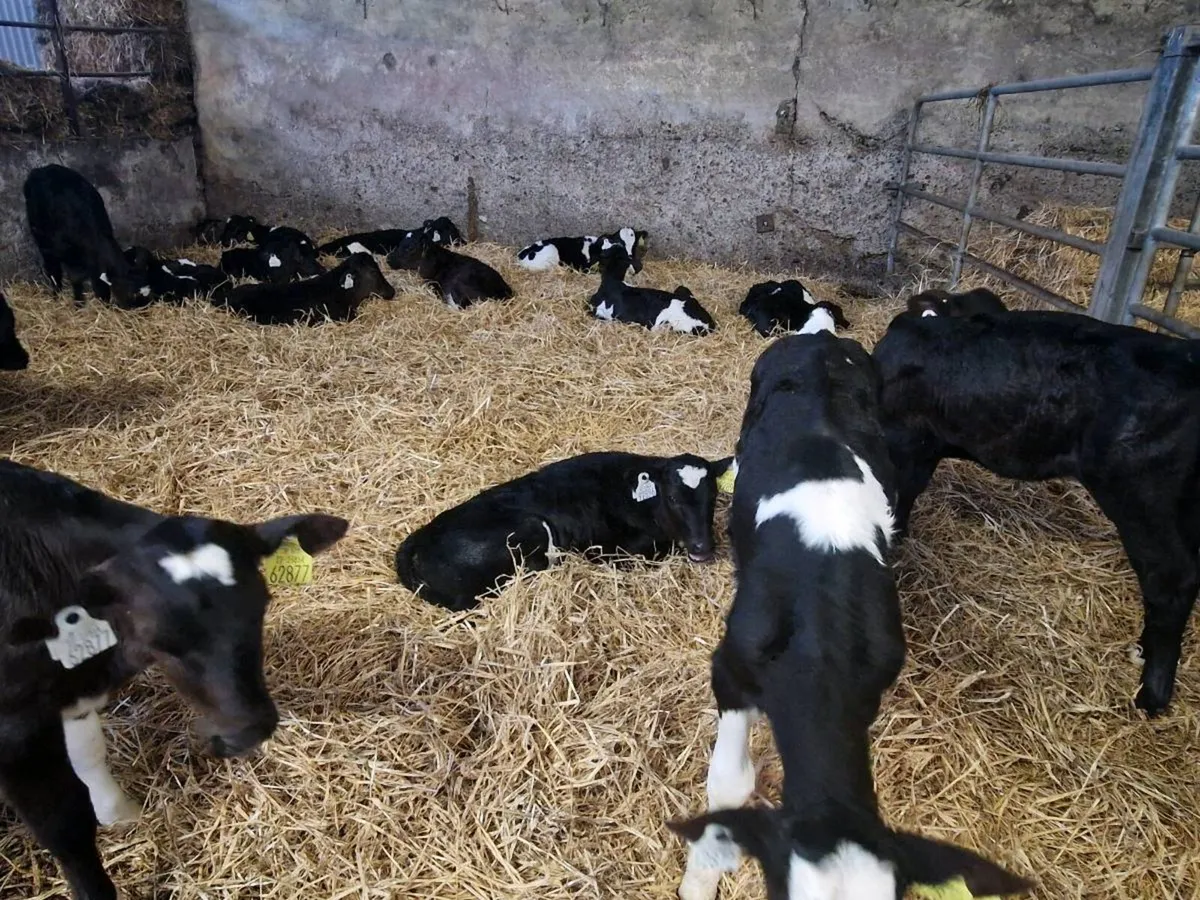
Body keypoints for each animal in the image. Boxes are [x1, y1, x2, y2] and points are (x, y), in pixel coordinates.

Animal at [0, 458, 348, 900]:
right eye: (159, 639)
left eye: (261, 607)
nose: (249, 730)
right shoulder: (17, 731)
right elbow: (65, 825)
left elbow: (89, 753)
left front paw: (119, 814)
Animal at [395, 451, 735, 611]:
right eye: (673, 498)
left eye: (713, 496)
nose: (703, 547)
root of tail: (418, 539)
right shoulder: (614, 549)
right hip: (531, 529)